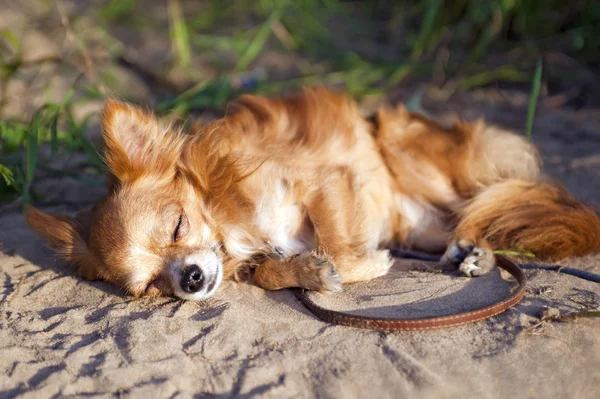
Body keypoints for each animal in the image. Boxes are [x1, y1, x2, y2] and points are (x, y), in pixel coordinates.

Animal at [25, 87, 600, 300]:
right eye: (149, 288)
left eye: (177, 226)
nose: (189, 280)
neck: (231, 225)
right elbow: (269, 271)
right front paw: (303, 271)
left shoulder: (326, 182)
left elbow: (340, 248)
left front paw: (357, 266)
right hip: (417, 223)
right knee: (463, 225)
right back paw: (470, 254)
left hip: (411, 155)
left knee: (483, 204)